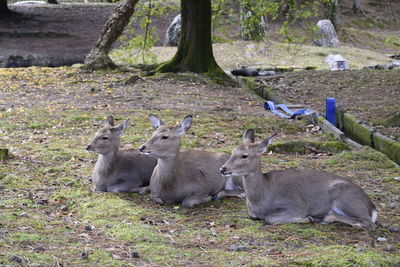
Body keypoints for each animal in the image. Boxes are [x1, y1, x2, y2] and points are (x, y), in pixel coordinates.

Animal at [220, 130, 376, 230]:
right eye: (232, 152)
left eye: (244, 155)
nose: (223, 169)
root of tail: (371, 207)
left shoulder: (295, 205)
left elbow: (270, 218)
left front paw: (307, 218)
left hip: (345, 199)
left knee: (367, 222)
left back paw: (324, 218)